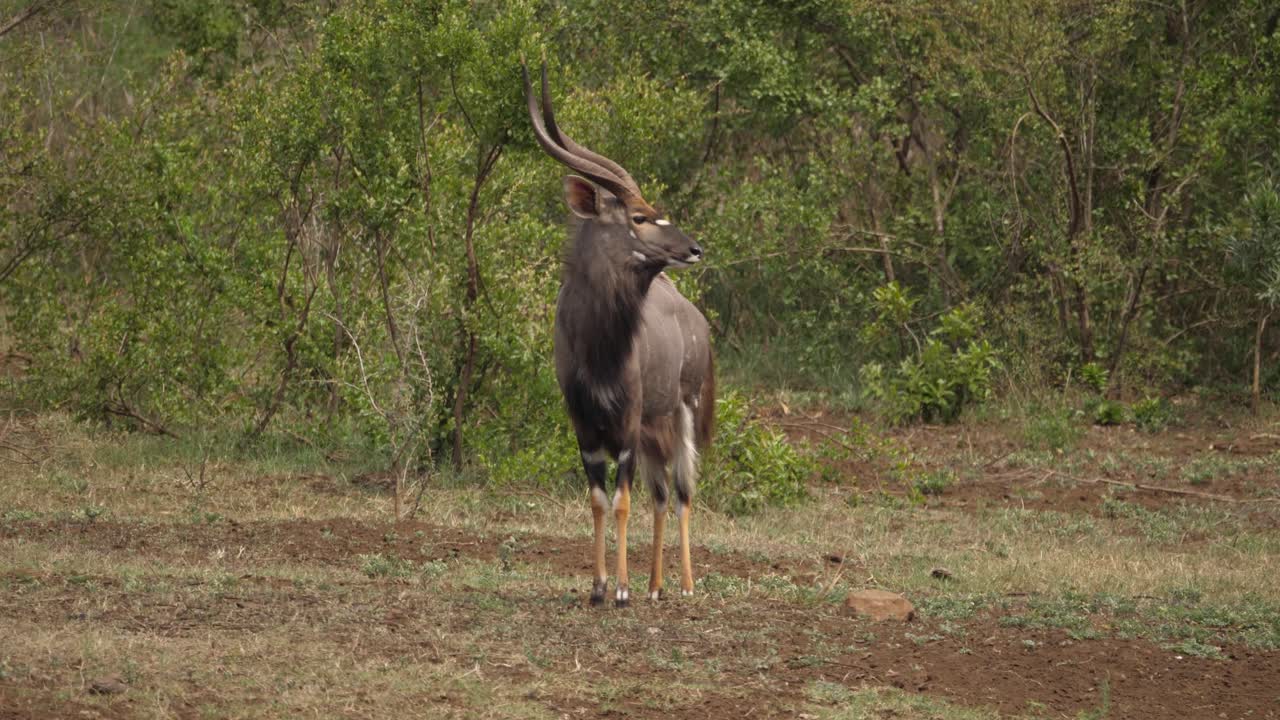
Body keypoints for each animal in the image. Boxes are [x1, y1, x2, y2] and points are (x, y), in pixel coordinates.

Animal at [523, 61, 715, 608]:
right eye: (639, 216)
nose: (694, 249)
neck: (599, 348)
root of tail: (696, 320)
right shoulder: (585, 425)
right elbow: (598, 500)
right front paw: (598, 587)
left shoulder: (626, 424)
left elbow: (623, 501)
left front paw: (623, 589)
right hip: (655, 428)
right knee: (661, 494)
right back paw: (656, 586)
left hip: (684, 410)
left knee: (683, 492)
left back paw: (683, 584)